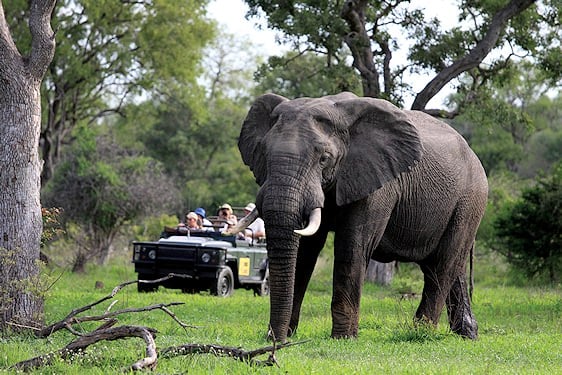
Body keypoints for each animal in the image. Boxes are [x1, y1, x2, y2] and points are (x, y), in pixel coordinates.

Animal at [228, 92, 486, 344]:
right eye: (264, 153)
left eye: (324, 158)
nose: (275, 341)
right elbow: (306, 250)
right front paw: (285, 336)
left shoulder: (378, 181)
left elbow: (352, 247)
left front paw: (343, 339)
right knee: (451, 266)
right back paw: (467, 335)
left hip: (469, 203)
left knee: (442, 265)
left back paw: (421, 333)